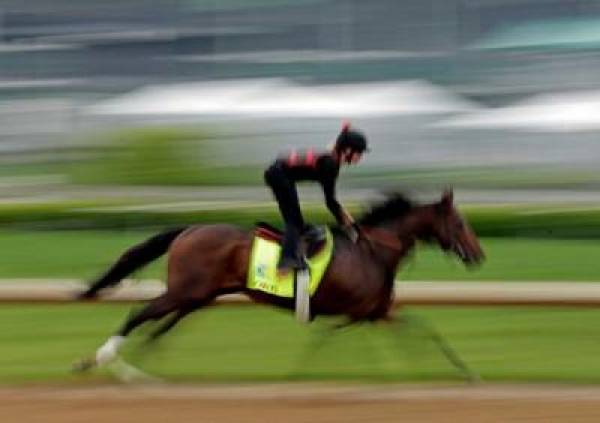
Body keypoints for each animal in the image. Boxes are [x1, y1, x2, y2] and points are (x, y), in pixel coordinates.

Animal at [76, 189, 482, 378]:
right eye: (460, 222)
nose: (478, 255)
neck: (372, 251)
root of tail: (188, 229)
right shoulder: (359, 312)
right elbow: (332, 338)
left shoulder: (374, 312)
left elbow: (423, 330)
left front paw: (463, 372)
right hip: (185, 291)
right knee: (140, 315)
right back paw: (103, 360)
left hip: (199, 296)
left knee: (158, 329)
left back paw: (141, 372)